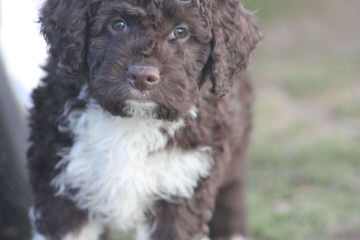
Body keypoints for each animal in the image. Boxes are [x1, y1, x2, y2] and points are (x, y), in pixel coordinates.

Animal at [26, 0, 260, 240]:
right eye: (118, 24)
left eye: (181, 31)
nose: (142, 77)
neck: (135, 119)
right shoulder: (62, 186)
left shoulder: (182, 190)